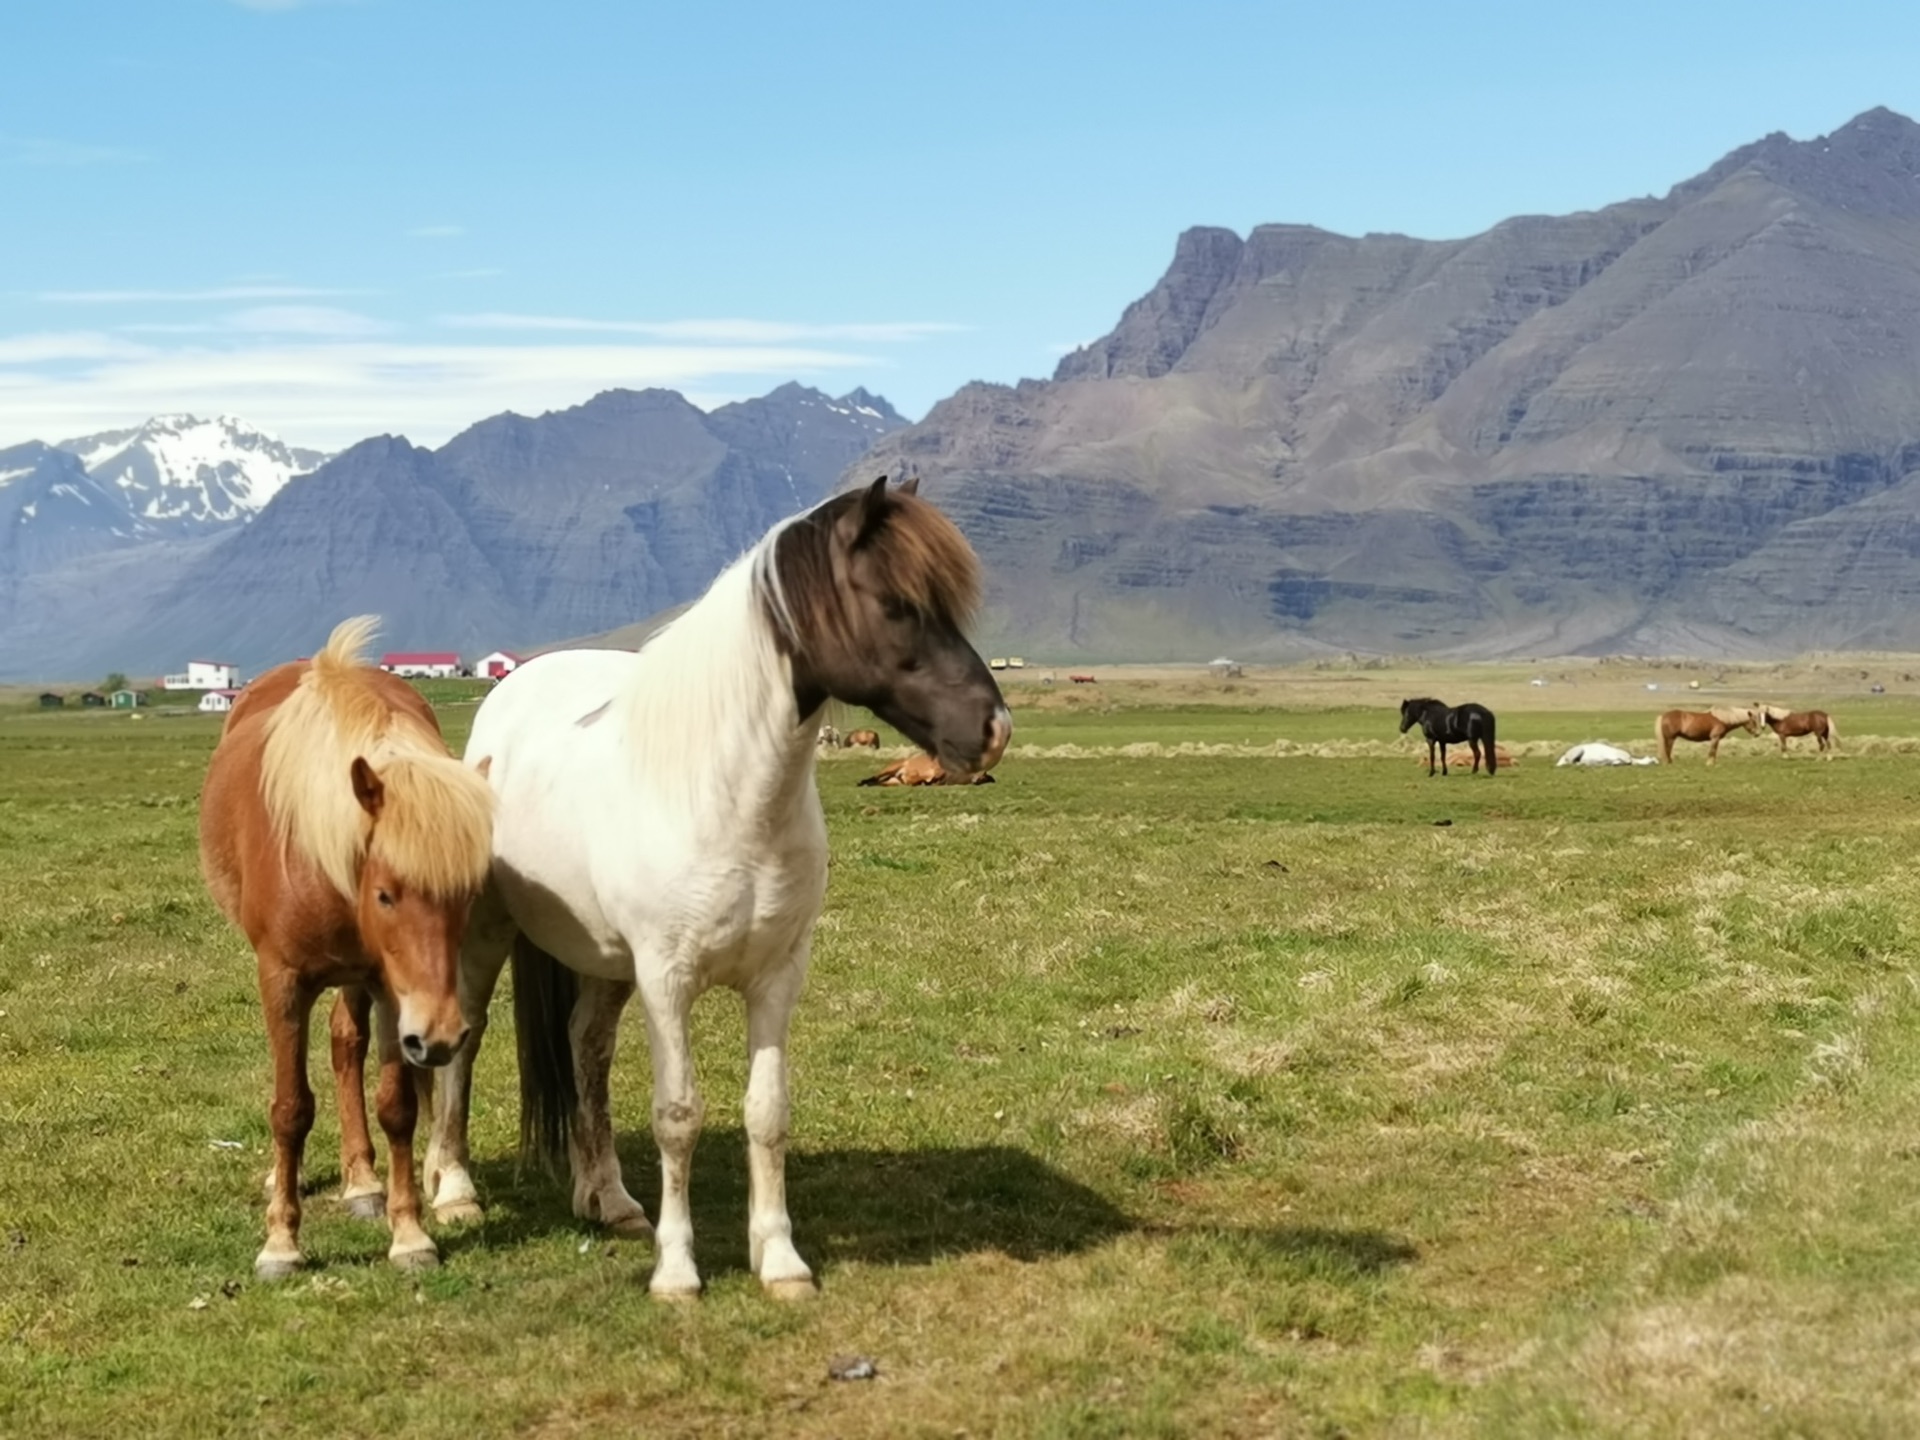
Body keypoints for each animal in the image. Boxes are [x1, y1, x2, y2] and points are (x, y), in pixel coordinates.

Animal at [194, 614, 491, 1282]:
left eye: (470, 893)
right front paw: (281, 1242)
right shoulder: (282, 978)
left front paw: (409, 1235)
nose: (441, 1036)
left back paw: (361, 1181)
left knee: (345, 1043)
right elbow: (289, 1107)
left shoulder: (391, 987)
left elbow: (397, 1105)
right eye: (385, 895)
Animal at [426, 480, 1013, 1305]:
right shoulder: (667, 983)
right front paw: (677, 1272)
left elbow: (767, 1114)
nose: (994, 729)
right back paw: (454, 1192)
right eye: (896, 604)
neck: (725, 797)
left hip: (605, 964)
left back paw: (607, 1198)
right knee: (468, 1039)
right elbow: (678, 1115)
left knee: (585, 1048)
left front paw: (781, 1260)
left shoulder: (774, 979)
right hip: (486, 935)